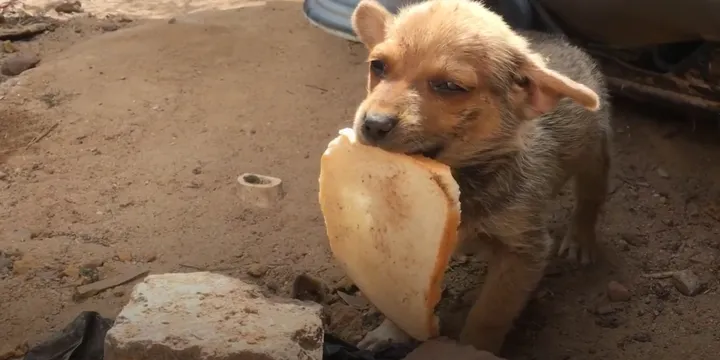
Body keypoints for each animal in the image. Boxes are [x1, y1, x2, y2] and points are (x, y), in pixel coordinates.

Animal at [352, 0, 612, 354]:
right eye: (377, 66)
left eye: (450, 86)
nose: (373, 124)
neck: (461, 182)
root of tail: (557, 40)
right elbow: (403, 296)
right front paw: (391, 331)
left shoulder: (523, 252)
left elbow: (489, 315)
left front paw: (471, 350)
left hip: (594, 154)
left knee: (590, 196)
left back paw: (581, 238)